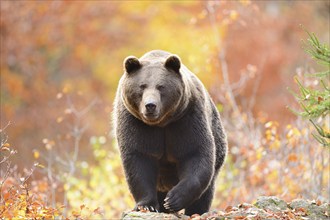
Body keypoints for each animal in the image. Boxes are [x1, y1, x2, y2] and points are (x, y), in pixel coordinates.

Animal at [113, 49, 227, 215]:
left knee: (206, 191)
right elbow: (138, 159)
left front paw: (173, 199)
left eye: (161, 86)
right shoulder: (135, 124)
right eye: (142, 86)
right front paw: (147, 205)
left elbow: (195, 153)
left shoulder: (187, 119)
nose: (150, 105)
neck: (161, 123)